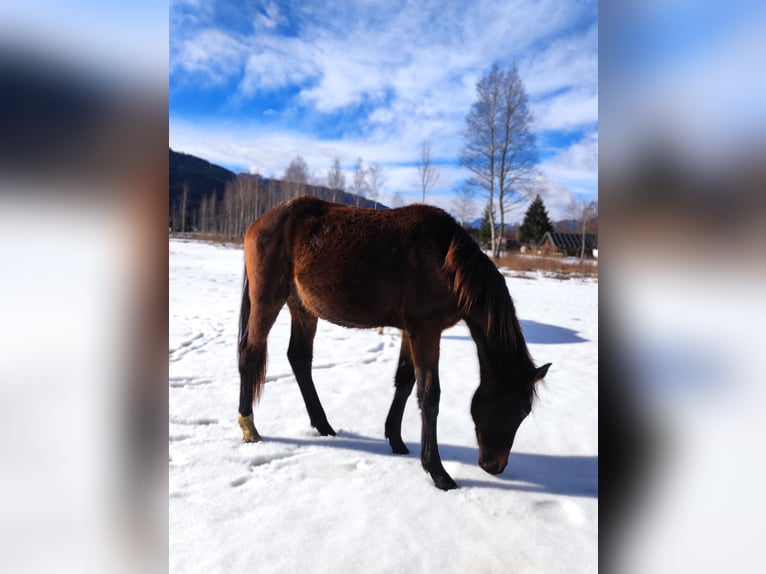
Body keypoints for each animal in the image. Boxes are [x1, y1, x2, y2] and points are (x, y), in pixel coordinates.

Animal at [237, 197, 551, 490]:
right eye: (521, 410)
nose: (494, 466)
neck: (448, 263)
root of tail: (259, 222)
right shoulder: (426, 331)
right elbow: (430, 395)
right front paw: (436, 471)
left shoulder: (410, 331)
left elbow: (405, 381)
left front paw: (396, 440)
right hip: (268, 300)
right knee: (250, 355)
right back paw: (249, 427)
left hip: (302, 307)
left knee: (299, 358)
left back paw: (323, 424)